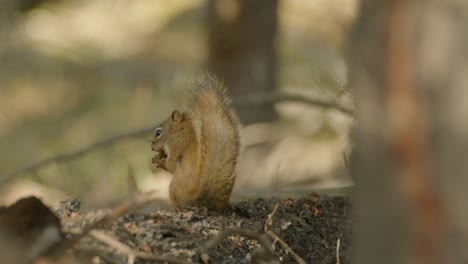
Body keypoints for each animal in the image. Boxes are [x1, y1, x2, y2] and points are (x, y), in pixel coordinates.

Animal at [152, 73, 241, 210]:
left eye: (158, 132)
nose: (151, 146)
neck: (180, 132)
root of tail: (198, 200)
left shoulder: (176, 146)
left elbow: (171, 166)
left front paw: (157, 160)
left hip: (174, 187)